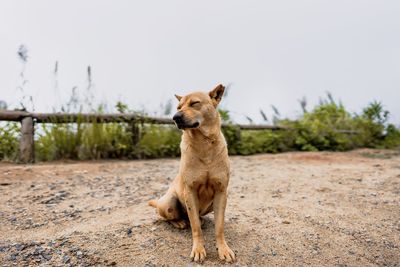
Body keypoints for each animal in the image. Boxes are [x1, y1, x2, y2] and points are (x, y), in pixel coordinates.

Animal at [148, 85, 236, 262]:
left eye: (195, 103)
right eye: (178, 107)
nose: (175, 117)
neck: (203, 143)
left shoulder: (221, 191)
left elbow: (219, 227)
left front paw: (223, 248)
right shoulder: (190, 191)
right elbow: (195, 227)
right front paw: (198, 249)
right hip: (168, 202)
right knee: (168, 217)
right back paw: (179, 222)